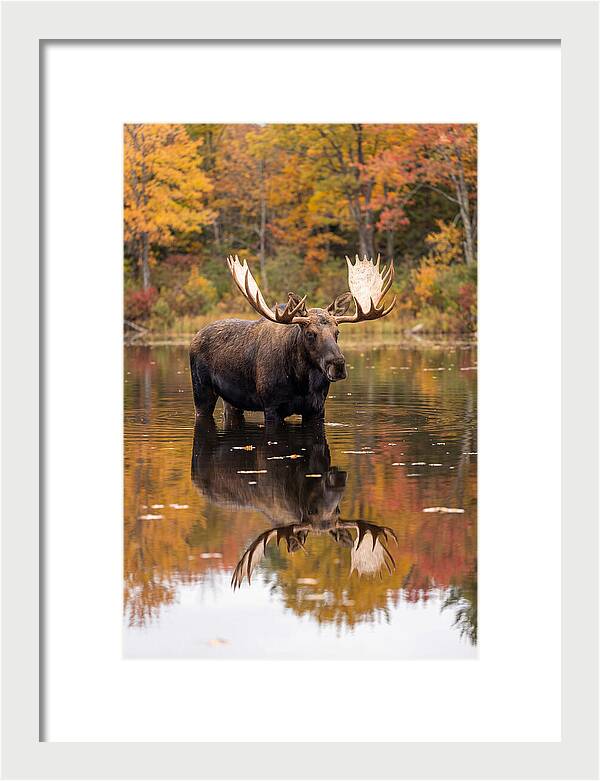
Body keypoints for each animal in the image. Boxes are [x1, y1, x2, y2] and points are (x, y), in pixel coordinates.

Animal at [189, 254, 396, 425]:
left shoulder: (317, 408)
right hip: (201, 391)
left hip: (232, 400)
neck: (301, 381)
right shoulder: (271, 406)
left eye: (337, 332)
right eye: (310, 333)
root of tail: (195, 336)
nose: (337, 364)